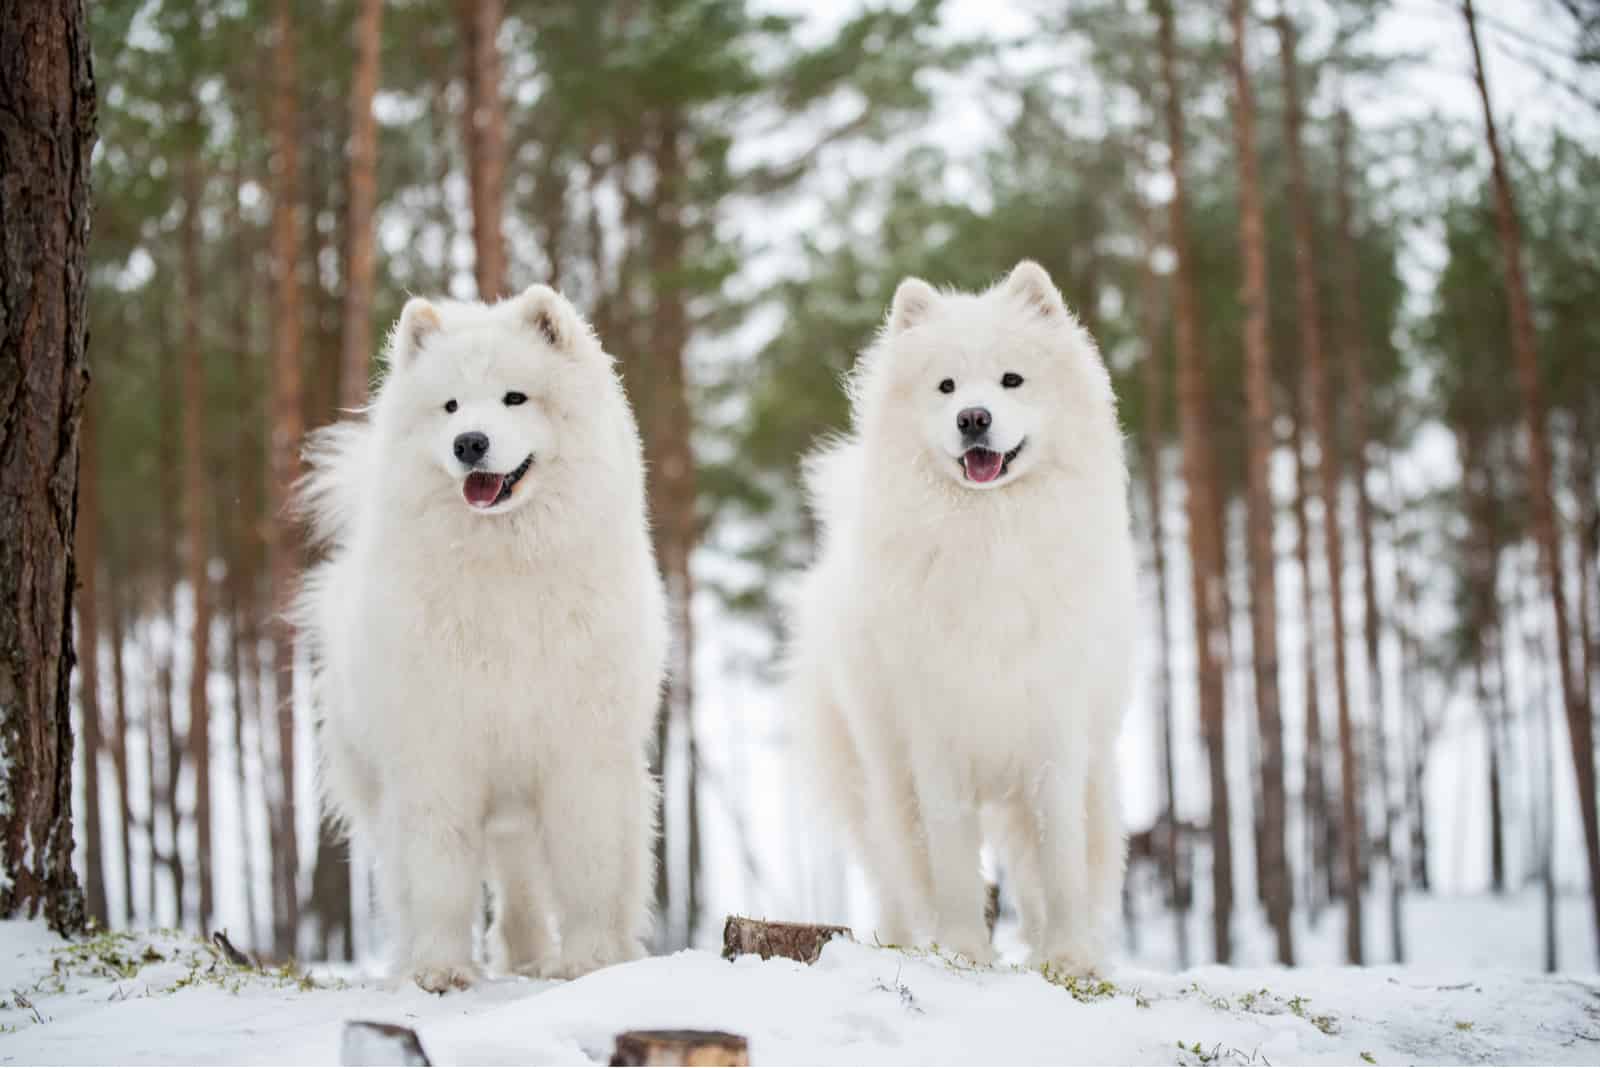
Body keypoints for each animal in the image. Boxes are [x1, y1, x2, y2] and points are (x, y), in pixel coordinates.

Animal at [297, 282, 665, 991]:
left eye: (514, 398)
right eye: (449, 406)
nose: (469, 441)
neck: (506, 572)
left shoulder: (582, 752)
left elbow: (589, 868)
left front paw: (590, 962)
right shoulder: (437, 754)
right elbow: (440, 873)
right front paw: (442, 970)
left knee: (520, 881)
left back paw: (531, 956)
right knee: (410, 882)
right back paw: (421, 960)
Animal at [787, 260, 1139, 978]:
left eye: (1011, 380)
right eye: (946, 386)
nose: (973, 418)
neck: (988, 535)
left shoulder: (1054, 735)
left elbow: (1058, 862)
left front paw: (1066, 959)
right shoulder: (935, 737)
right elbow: (950, 861)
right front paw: (962, 952)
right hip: (880, 772)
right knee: (894, 869)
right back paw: (898, 941)